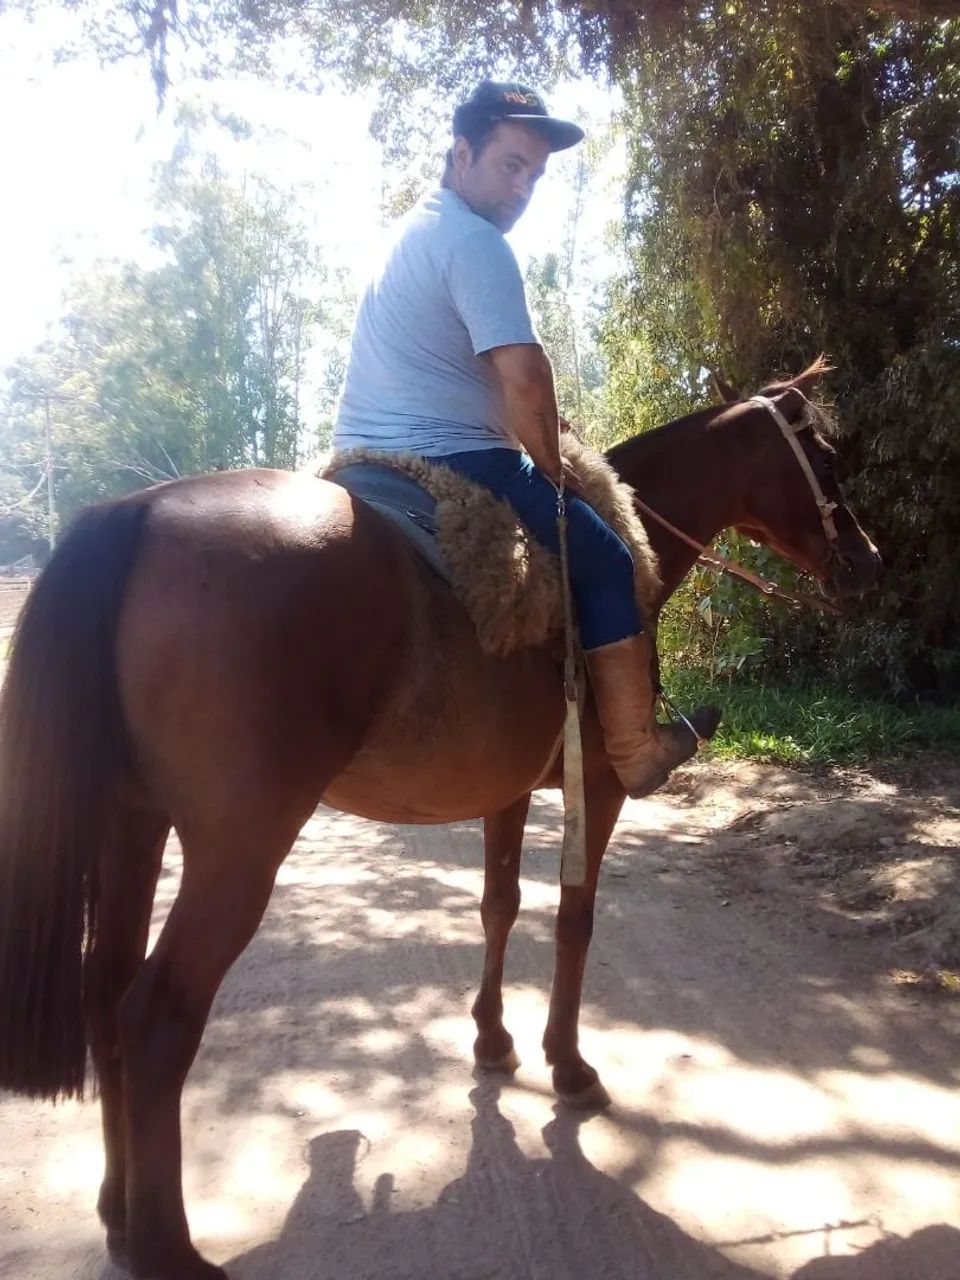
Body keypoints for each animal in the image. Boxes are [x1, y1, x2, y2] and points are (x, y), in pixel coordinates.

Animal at [0, 359, 880, 1279]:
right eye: (822, 454)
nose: (869, 559)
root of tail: (135, 514)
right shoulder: (600, 786)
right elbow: (574, 920)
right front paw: (568, 1066)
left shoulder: (508, 790)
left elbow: (499, 906)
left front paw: (492, 1041)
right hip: (238, 851)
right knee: (155, 1017)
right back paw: (166, 1248)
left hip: (131, 828)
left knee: (105, 995)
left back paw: (116, 1212)